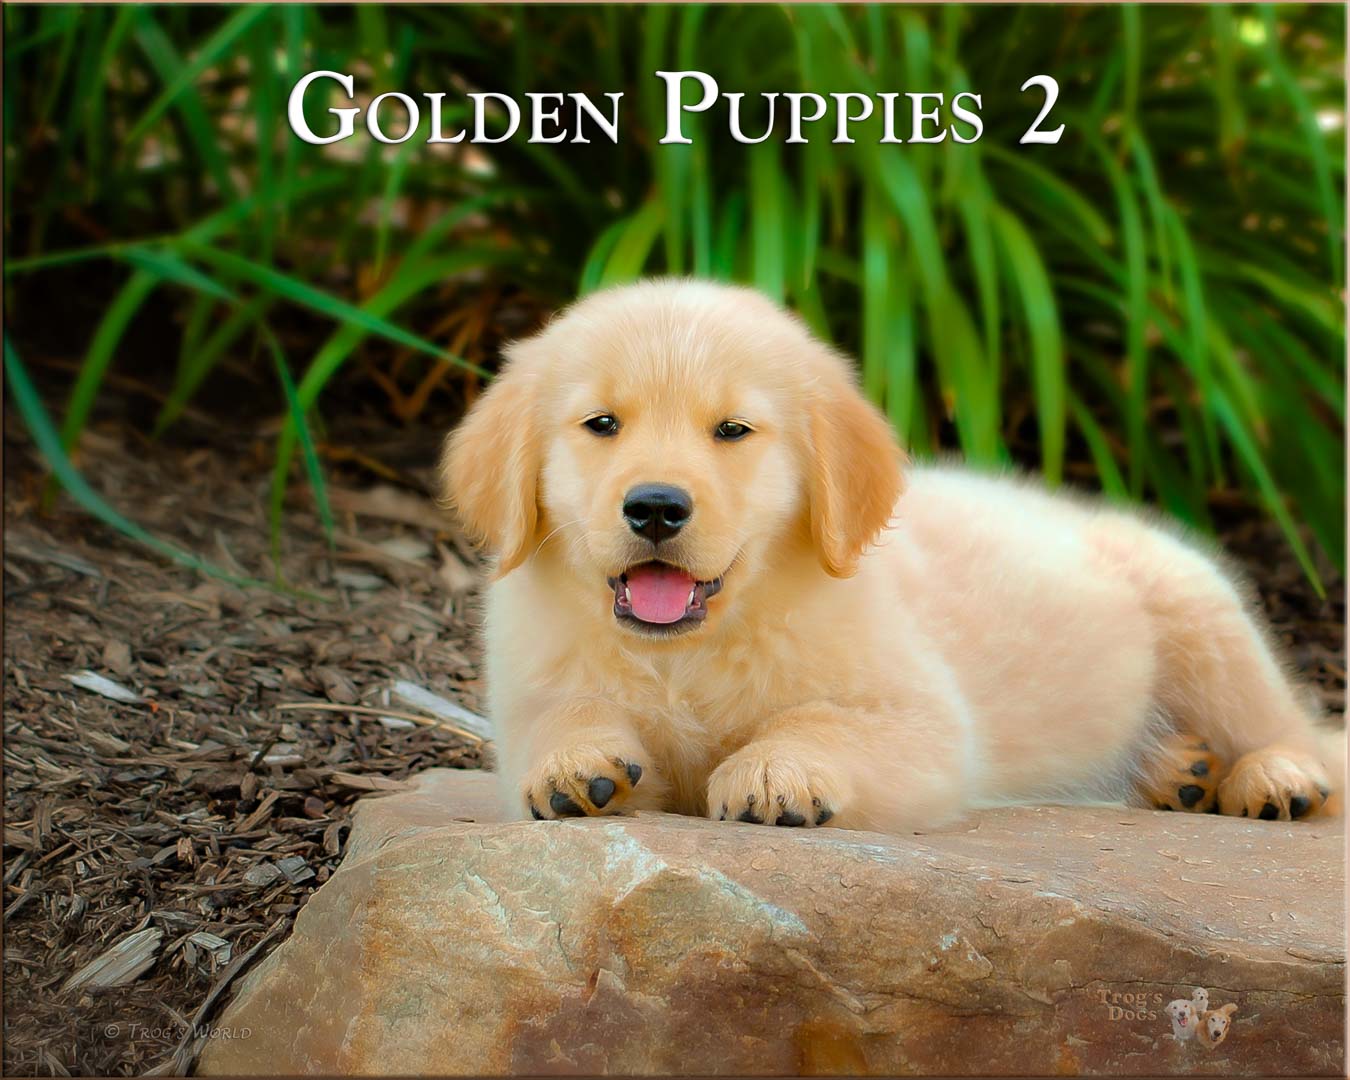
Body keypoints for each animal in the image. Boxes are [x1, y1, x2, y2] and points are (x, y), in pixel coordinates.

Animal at [440, 282, 1339, 831]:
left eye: (732, 430)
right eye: (601, 425)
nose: (656, 507)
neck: (689, 652)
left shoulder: (925, 722)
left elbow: (822, 719)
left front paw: (776, 773)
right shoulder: (527, 696)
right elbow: (563, 716)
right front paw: (576, 763)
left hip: (1204, 617)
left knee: (1299, 728)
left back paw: (1275, 778)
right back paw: (1176, 769)